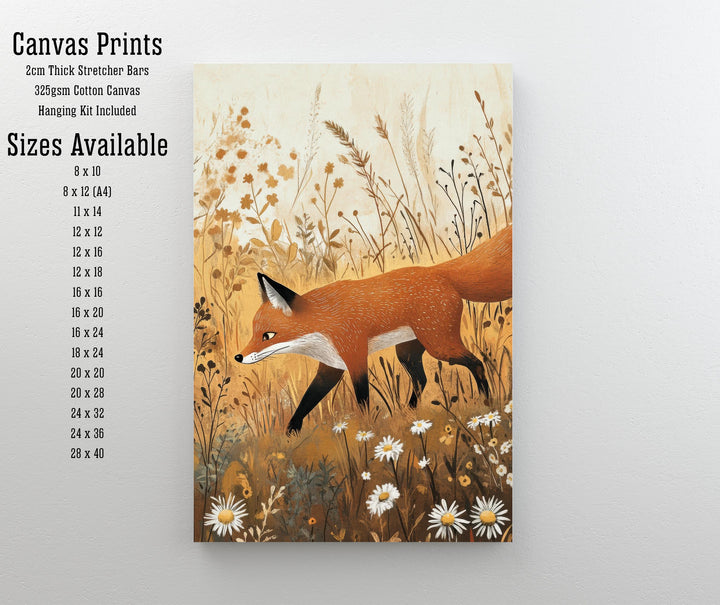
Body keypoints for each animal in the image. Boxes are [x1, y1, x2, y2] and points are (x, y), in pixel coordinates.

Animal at [236, 225, 512, 435]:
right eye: (253, 332)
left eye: (268, 335)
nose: (238, 357)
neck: (322, 324)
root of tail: (436, 271)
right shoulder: (331, 367)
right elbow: (306, 401)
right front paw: (291, 433)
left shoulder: (355, 358)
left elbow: (362, 400)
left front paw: (366, 431)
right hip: (407, 352)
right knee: (421, 379)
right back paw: (407, 413)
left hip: (440, 346)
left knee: (477, 363)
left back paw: (486, 404)